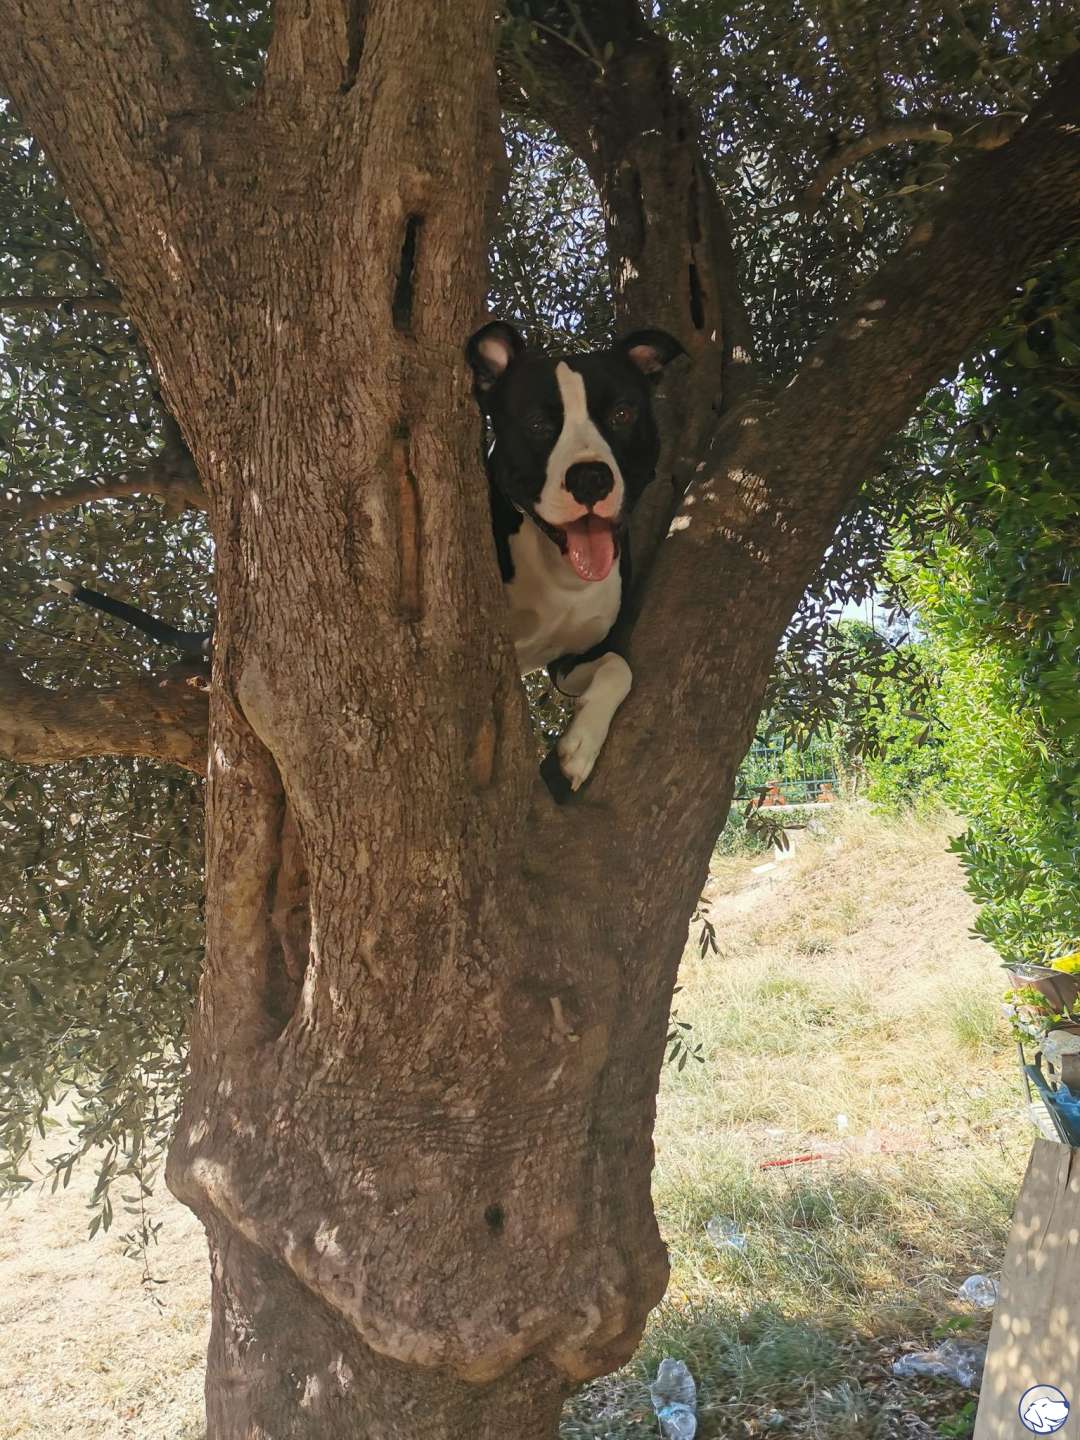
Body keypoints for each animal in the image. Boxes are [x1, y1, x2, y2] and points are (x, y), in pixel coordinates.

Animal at [466, 320, 684, 791]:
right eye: (536, 424)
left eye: (622, 414)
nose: (590, 478)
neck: (560, 573)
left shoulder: (573, 659)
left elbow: (620, 668)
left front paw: (579, 748)